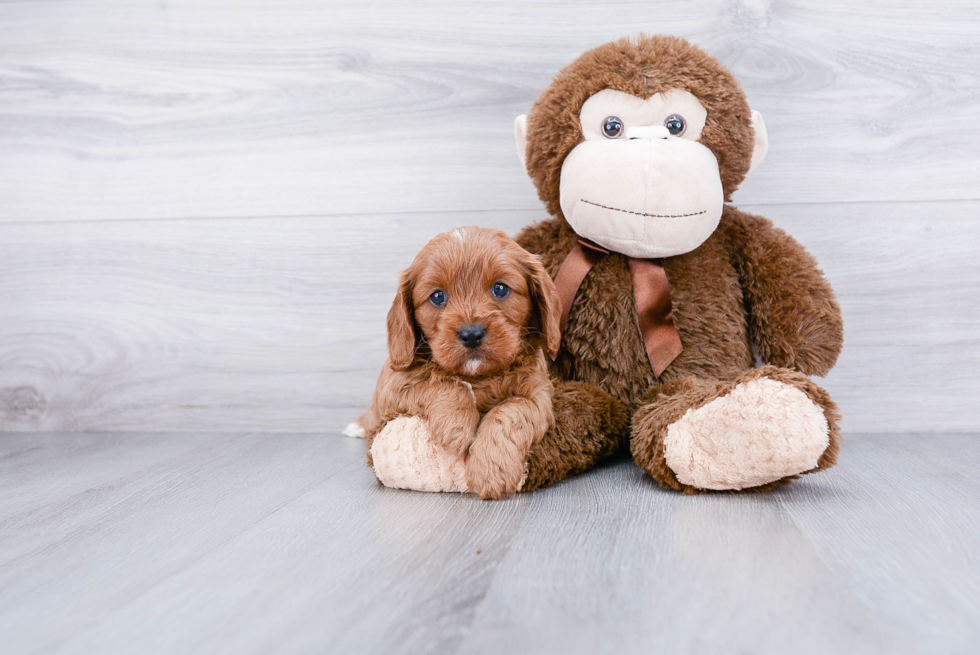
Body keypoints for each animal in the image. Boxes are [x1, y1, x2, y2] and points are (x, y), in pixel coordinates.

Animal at [352, 228, 560, 500]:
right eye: (437, 296)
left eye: (500, 289)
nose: (471, 334)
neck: (478, 377)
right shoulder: (394, 383)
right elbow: (439, 381)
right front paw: (457, 427)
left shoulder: (537, 393)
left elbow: (511, 411)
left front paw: (492, 469)